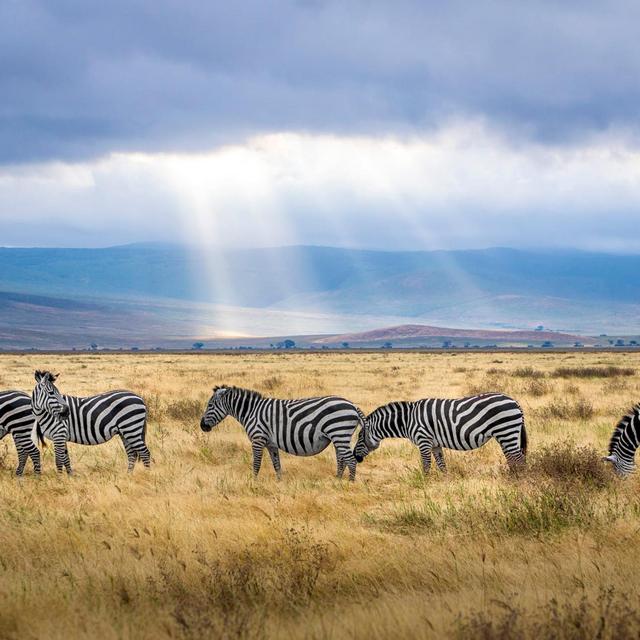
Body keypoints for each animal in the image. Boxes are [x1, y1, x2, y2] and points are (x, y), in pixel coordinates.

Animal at [198, 384, 368, 480]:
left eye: (210, 405)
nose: (202, 426)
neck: (251, 411)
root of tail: (352, 405)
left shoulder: (258, 439)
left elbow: (256, 463)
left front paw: (253, 482)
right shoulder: (271, 443)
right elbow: (276, 464)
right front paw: (279, 483)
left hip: (339, 432)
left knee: (350, 460)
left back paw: (349, 484)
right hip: (338, 436)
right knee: (342, 459)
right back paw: (337, 481)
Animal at [352, 392, 528, 472]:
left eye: (360, 436)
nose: (355, 457)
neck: (408, 420)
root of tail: (514, 401)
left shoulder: (423, 440)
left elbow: (426, 465)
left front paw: (424, 484)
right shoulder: (435, 444)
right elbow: (442, 464)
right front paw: (445, 482)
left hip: (506, 431)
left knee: (518, 458)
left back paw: (519, 481)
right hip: (505, 434)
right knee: (512, 458)